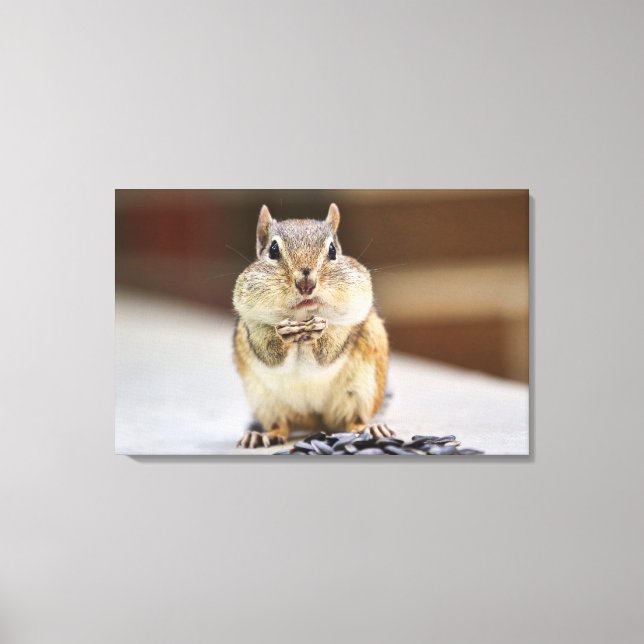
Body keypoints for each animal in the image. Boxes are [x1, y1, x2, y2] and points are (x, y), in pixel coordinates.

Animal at [232, 203, 391, 448]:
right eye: (273, 250)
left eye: (333, 250)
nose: (306, 283)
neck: (302, 318)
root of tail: (314, 420)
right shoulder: (252, 326)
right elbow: (269, 353)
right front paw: (284, 334)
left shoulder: (350, 322)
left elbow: (329, 351)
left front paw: (319, 332)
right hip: (265, 401)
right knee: (281, 424)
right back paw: (263, 435)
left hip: (363, 390)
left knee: (354, 419)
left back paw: (369, 428)